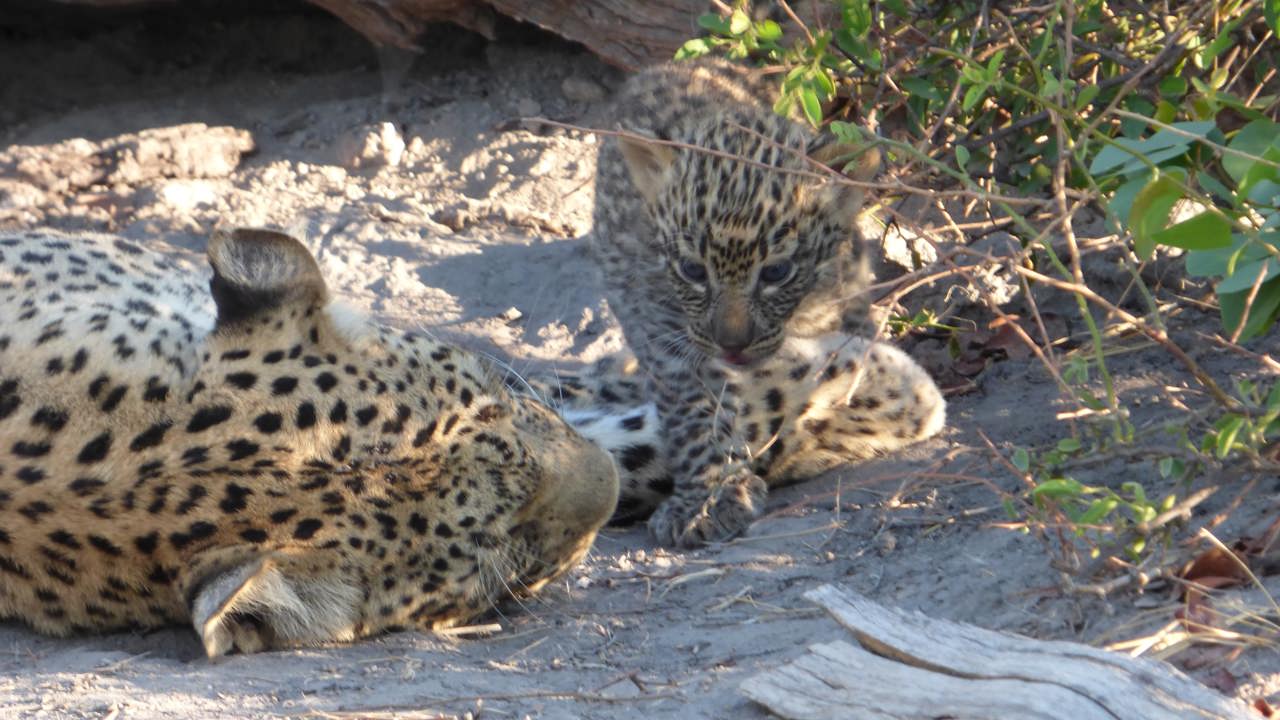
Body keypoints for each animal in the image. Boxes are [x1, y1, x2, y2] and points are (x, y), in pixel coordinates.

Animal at [587, 57, 946, 547]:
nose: (732, 345)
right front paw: (709, 498)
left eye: (776, 273)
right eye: (693, 271)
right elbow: (697, 412)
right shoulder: (664, 331)